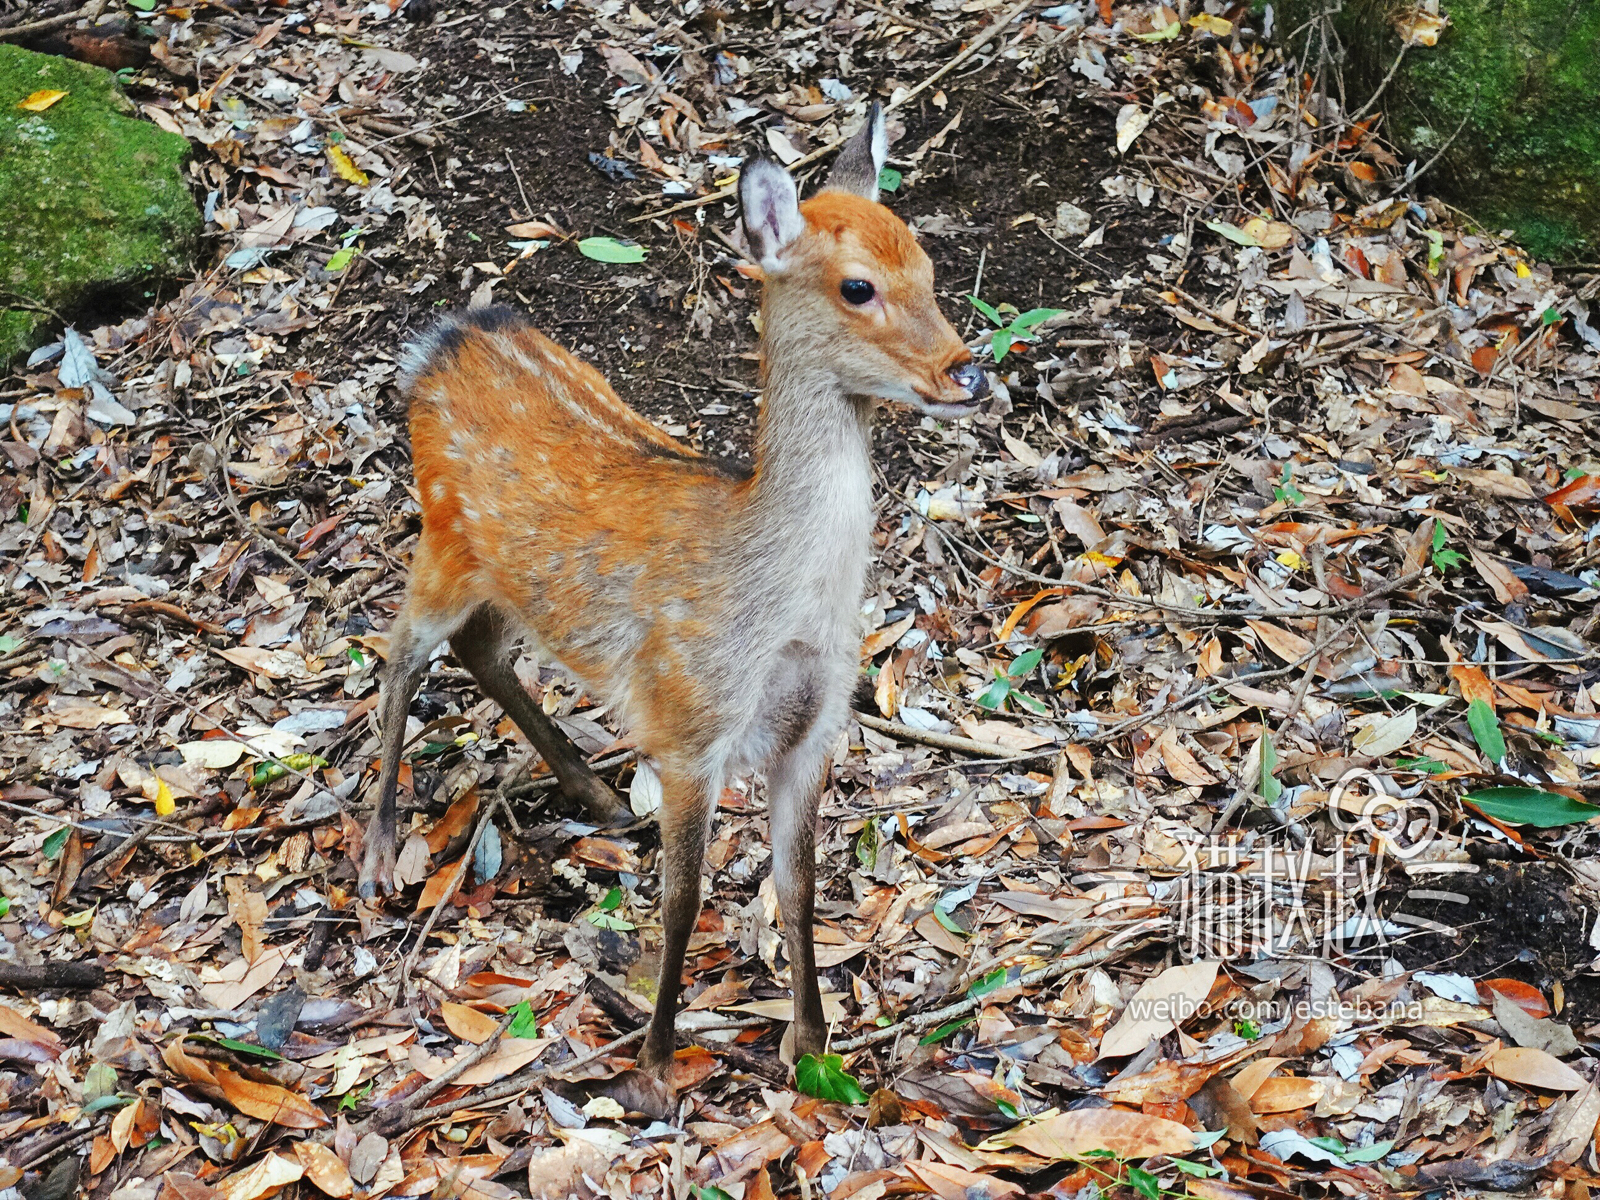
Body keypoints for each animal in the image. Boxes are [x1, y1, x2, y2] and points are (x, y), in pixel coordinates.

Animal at [363, 101, 985, 1081]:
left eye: (928, 268)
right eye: (857, 287)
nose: (970, 372)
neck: (778, 615)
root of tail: (438, 343)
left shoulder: (815, 732)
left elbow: (798, 886)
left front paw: (811, 1045)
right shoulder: (690, 727)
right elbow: (684, 898)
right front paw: (655, 1061)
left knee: (479, 649)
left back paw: (597, 794)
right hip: (442, 536)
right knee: (398, 656)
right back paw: (382, 853)